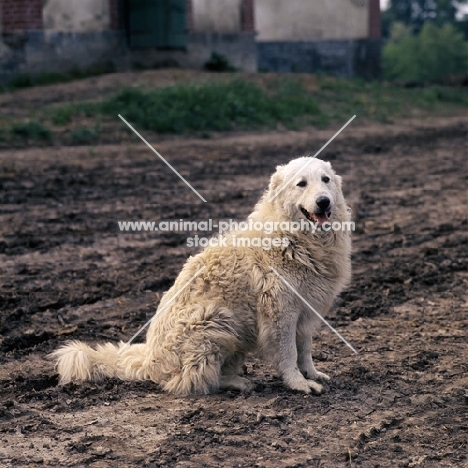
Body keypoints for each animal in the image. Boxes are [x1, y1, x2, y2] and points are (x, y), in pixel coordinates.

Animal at [51, 157, 352, 394]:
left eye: (325, 180)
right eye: (301, 184)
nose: (323, 202)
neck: (293, 236)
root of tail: (148, 361)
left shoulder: (306, 310)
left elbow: (305, 349)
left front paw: (312, 374)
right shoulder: (281, 313)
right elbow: (288, 353)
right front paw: (298, 384)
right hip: (216, 319)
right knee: (194, 380)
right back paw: (236, 384)